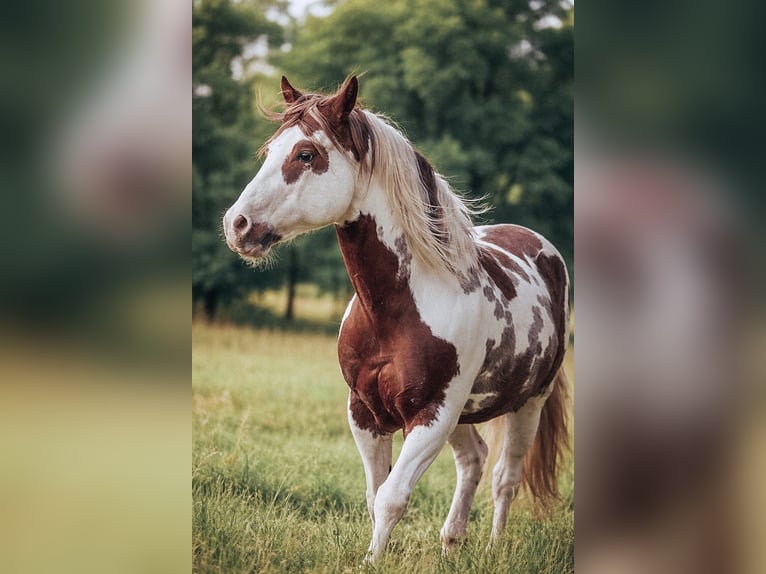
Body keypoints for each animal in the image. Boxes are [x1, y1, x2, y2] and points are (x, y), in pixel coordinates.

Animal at [222, 76, 570, 563]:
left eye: (306, 154)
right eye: (269, 150)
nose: (237, 225)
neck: (395, 311)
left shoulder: (432, 414)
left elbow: (391, 497)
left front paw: (372, 561)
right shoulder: (364, 412)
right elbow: (374, 496)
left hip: (528, 402)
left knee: (505, 476)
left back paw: (494, 547)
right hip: (465, 414)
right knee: (474, 460)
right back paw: (451, 544)